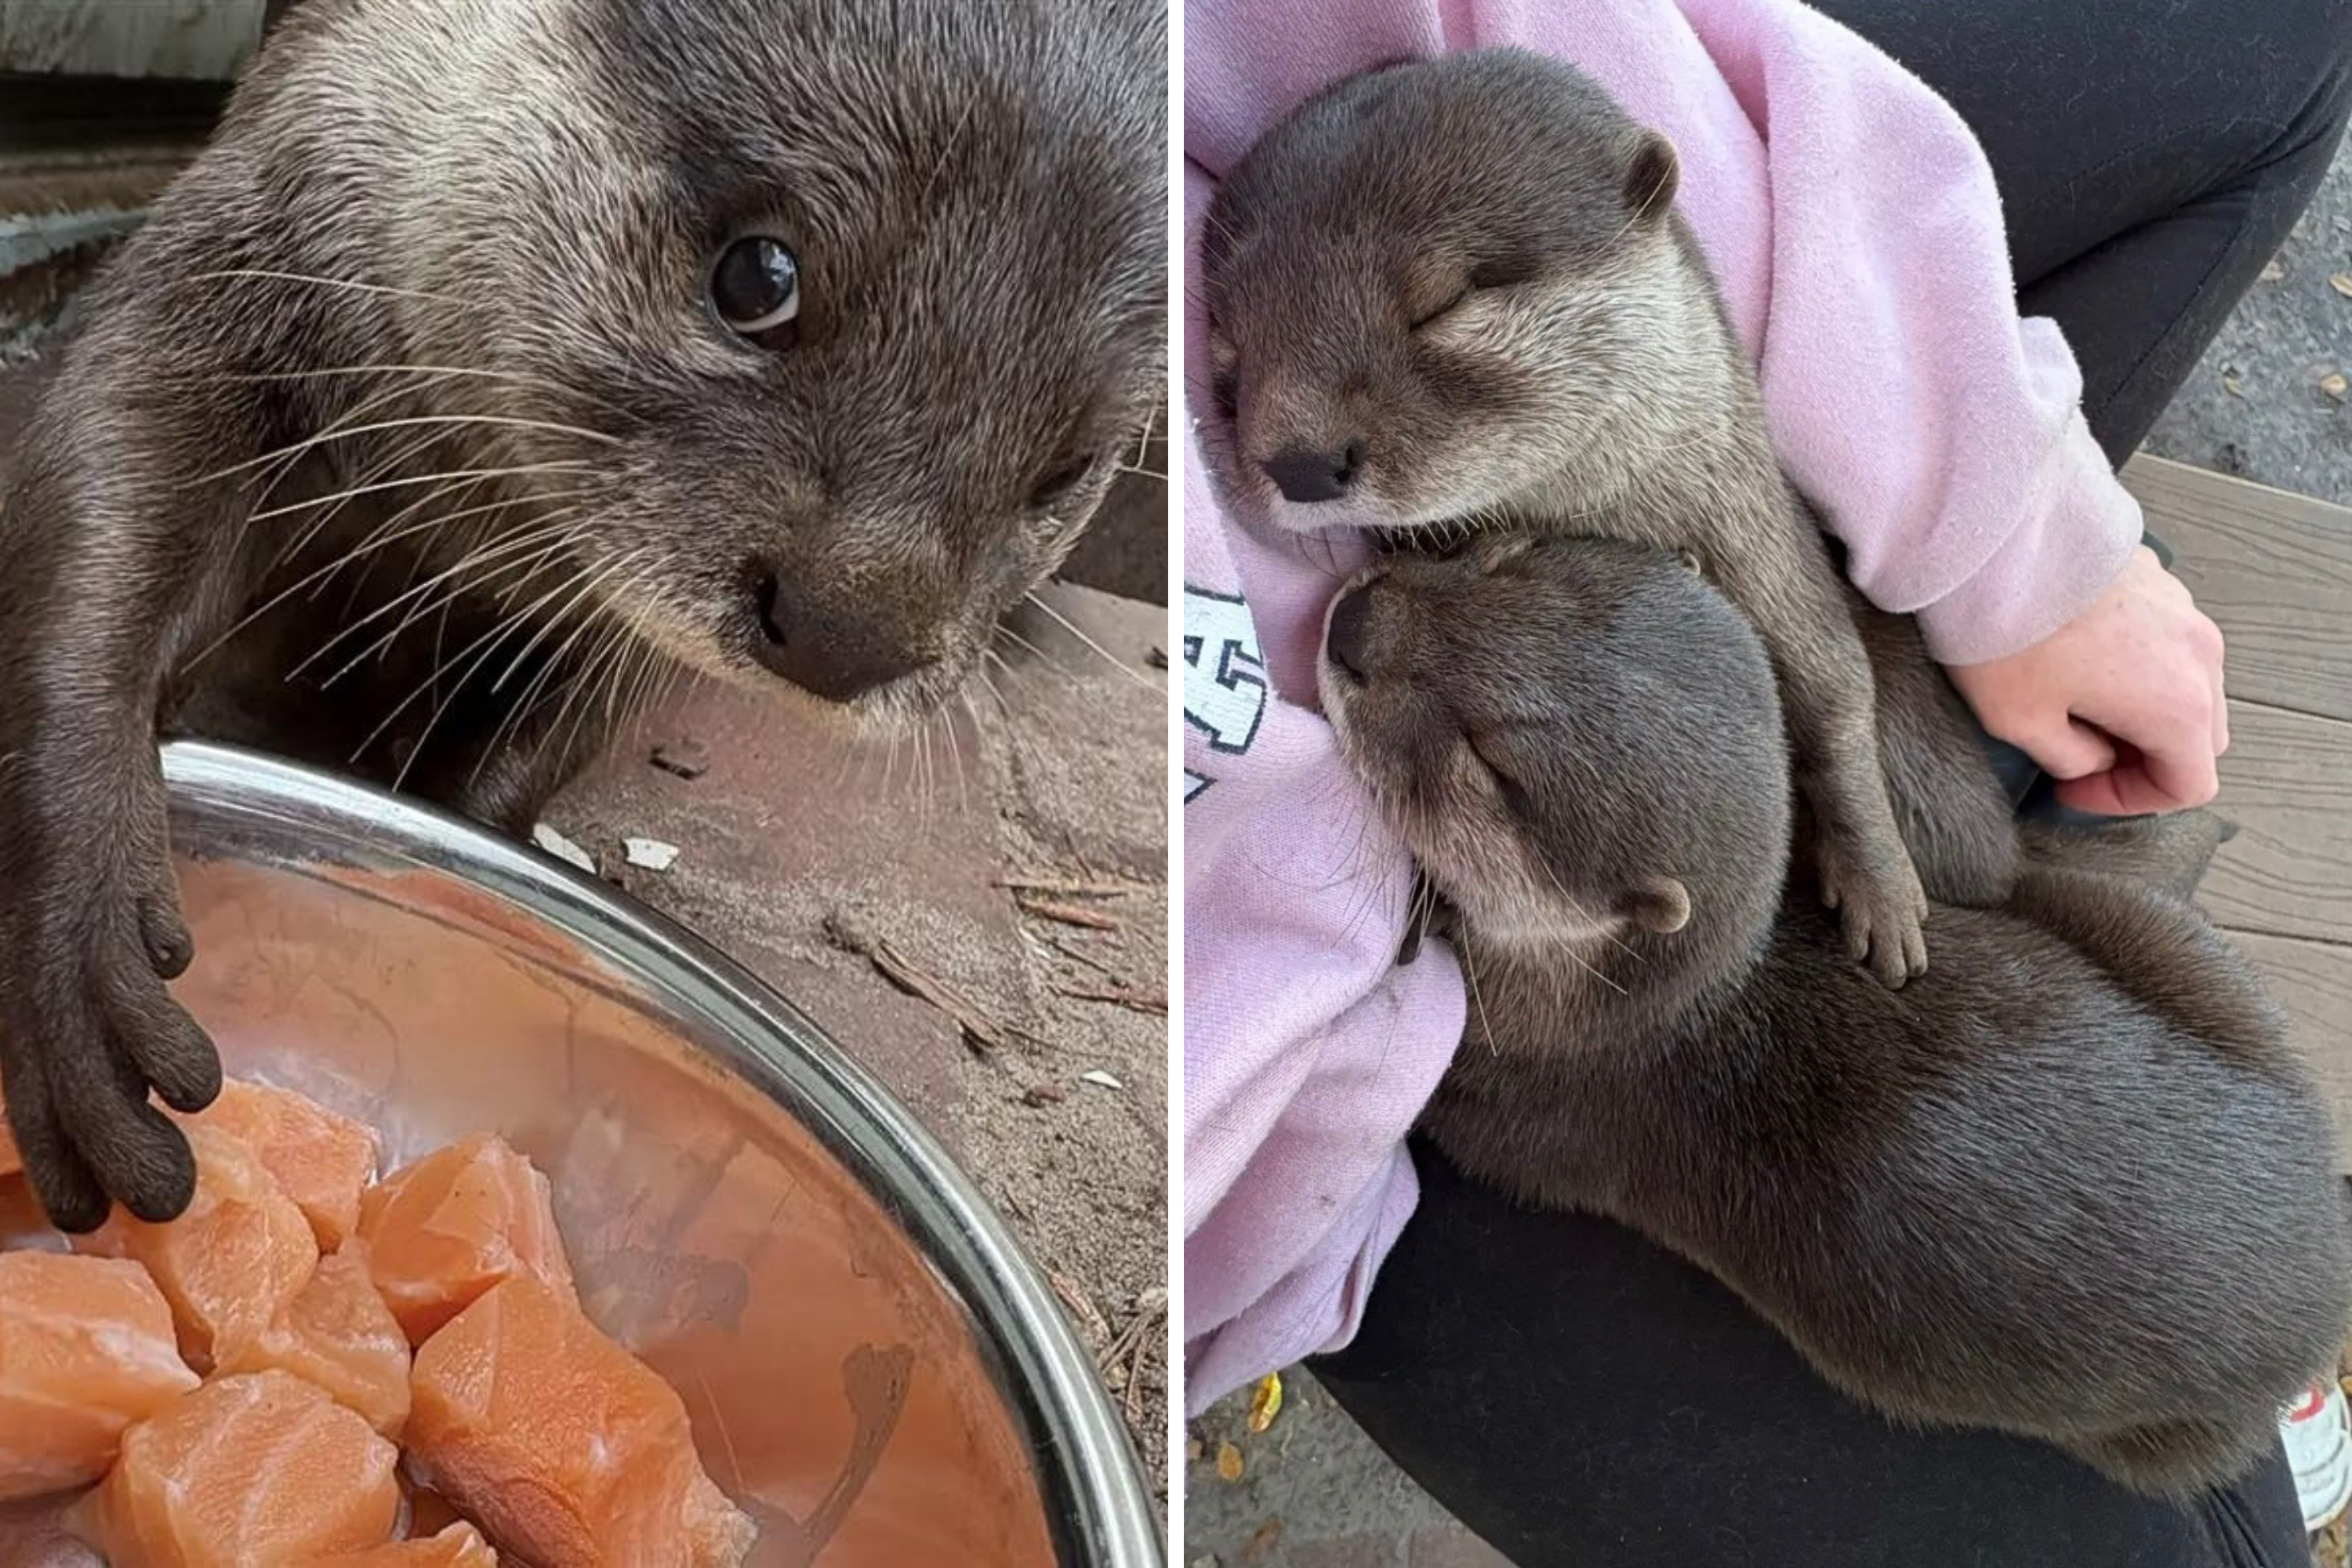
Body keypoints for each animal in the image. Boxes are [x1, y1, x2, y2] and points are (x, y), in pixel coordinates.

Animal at [0, 0, 1165, 1231]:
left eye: (1067, 467)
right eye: (758, 275)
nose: (847, 633)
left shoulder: (616, 620)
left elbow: (565, 723)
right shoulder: (285, 190)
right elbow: (113, 450)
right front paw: (76, 939)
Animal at [1201, 48, 1932, 994]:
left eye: (1446, 302)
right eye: (1228, 347)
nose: (1298, 461)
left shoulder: (1761, 538)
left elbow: (1837, 684)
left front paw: (1882, 886)